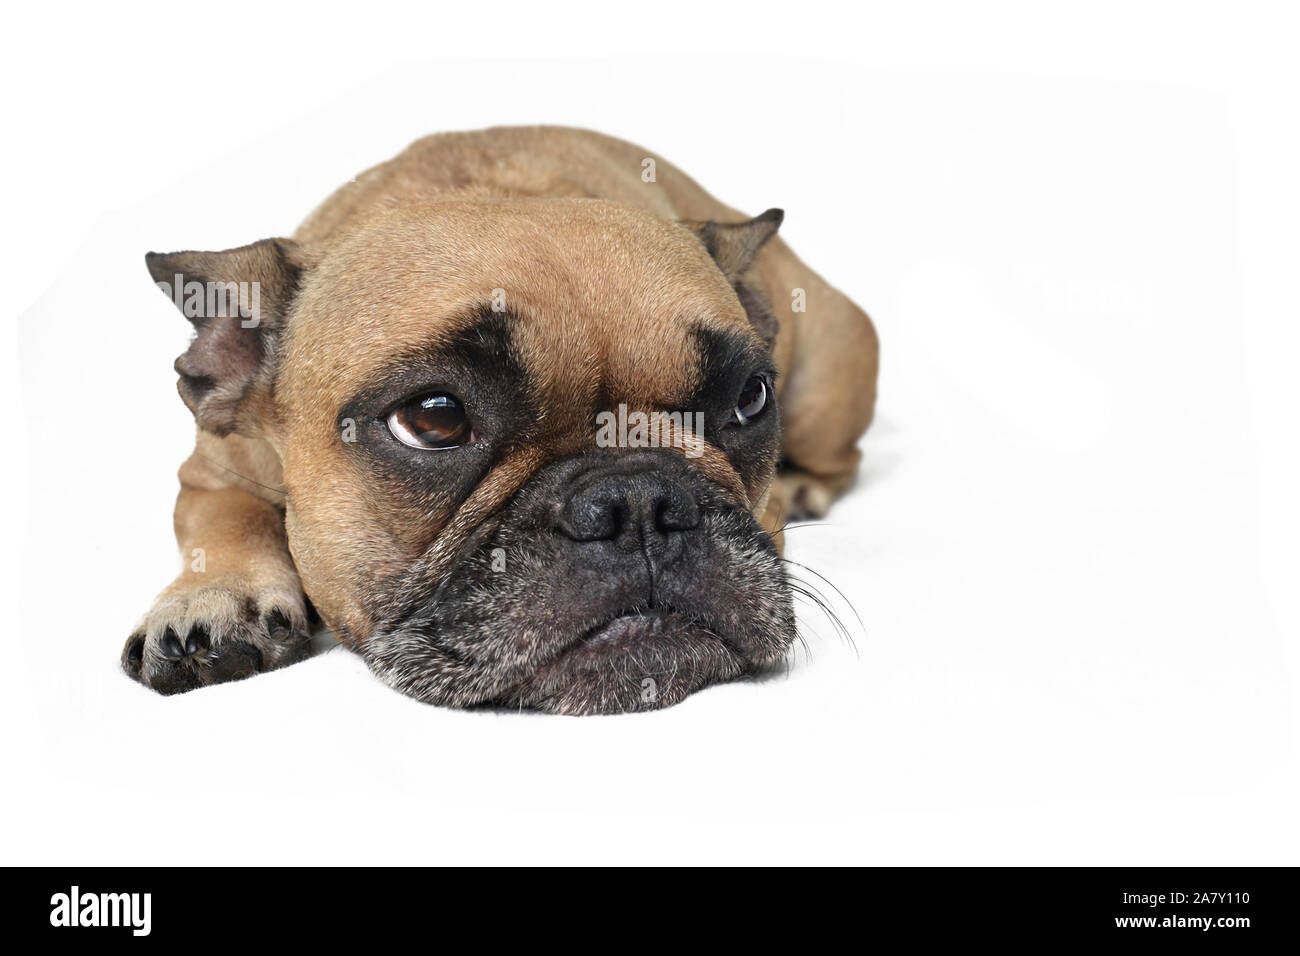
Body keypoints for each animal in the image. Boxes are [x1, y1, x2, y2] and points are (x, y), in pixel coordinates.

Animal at [122, 125, 878, 712]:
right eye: (433, 420)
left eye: (749, 398)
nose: (638, 499)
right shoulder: (214, 465)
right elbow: (224, 518)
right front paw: (214, 599)